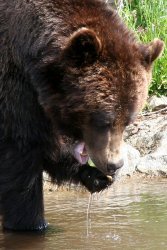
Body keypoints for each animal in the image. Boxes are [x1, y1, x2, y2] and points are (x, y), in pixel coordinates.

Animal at [0, 0, 164, 231]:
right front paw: (32, 223)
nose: (115, 165)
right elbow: (21, 156)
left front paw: (93, 176)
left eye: (128, 122)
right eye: (104, 121)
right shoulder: (15, 86)